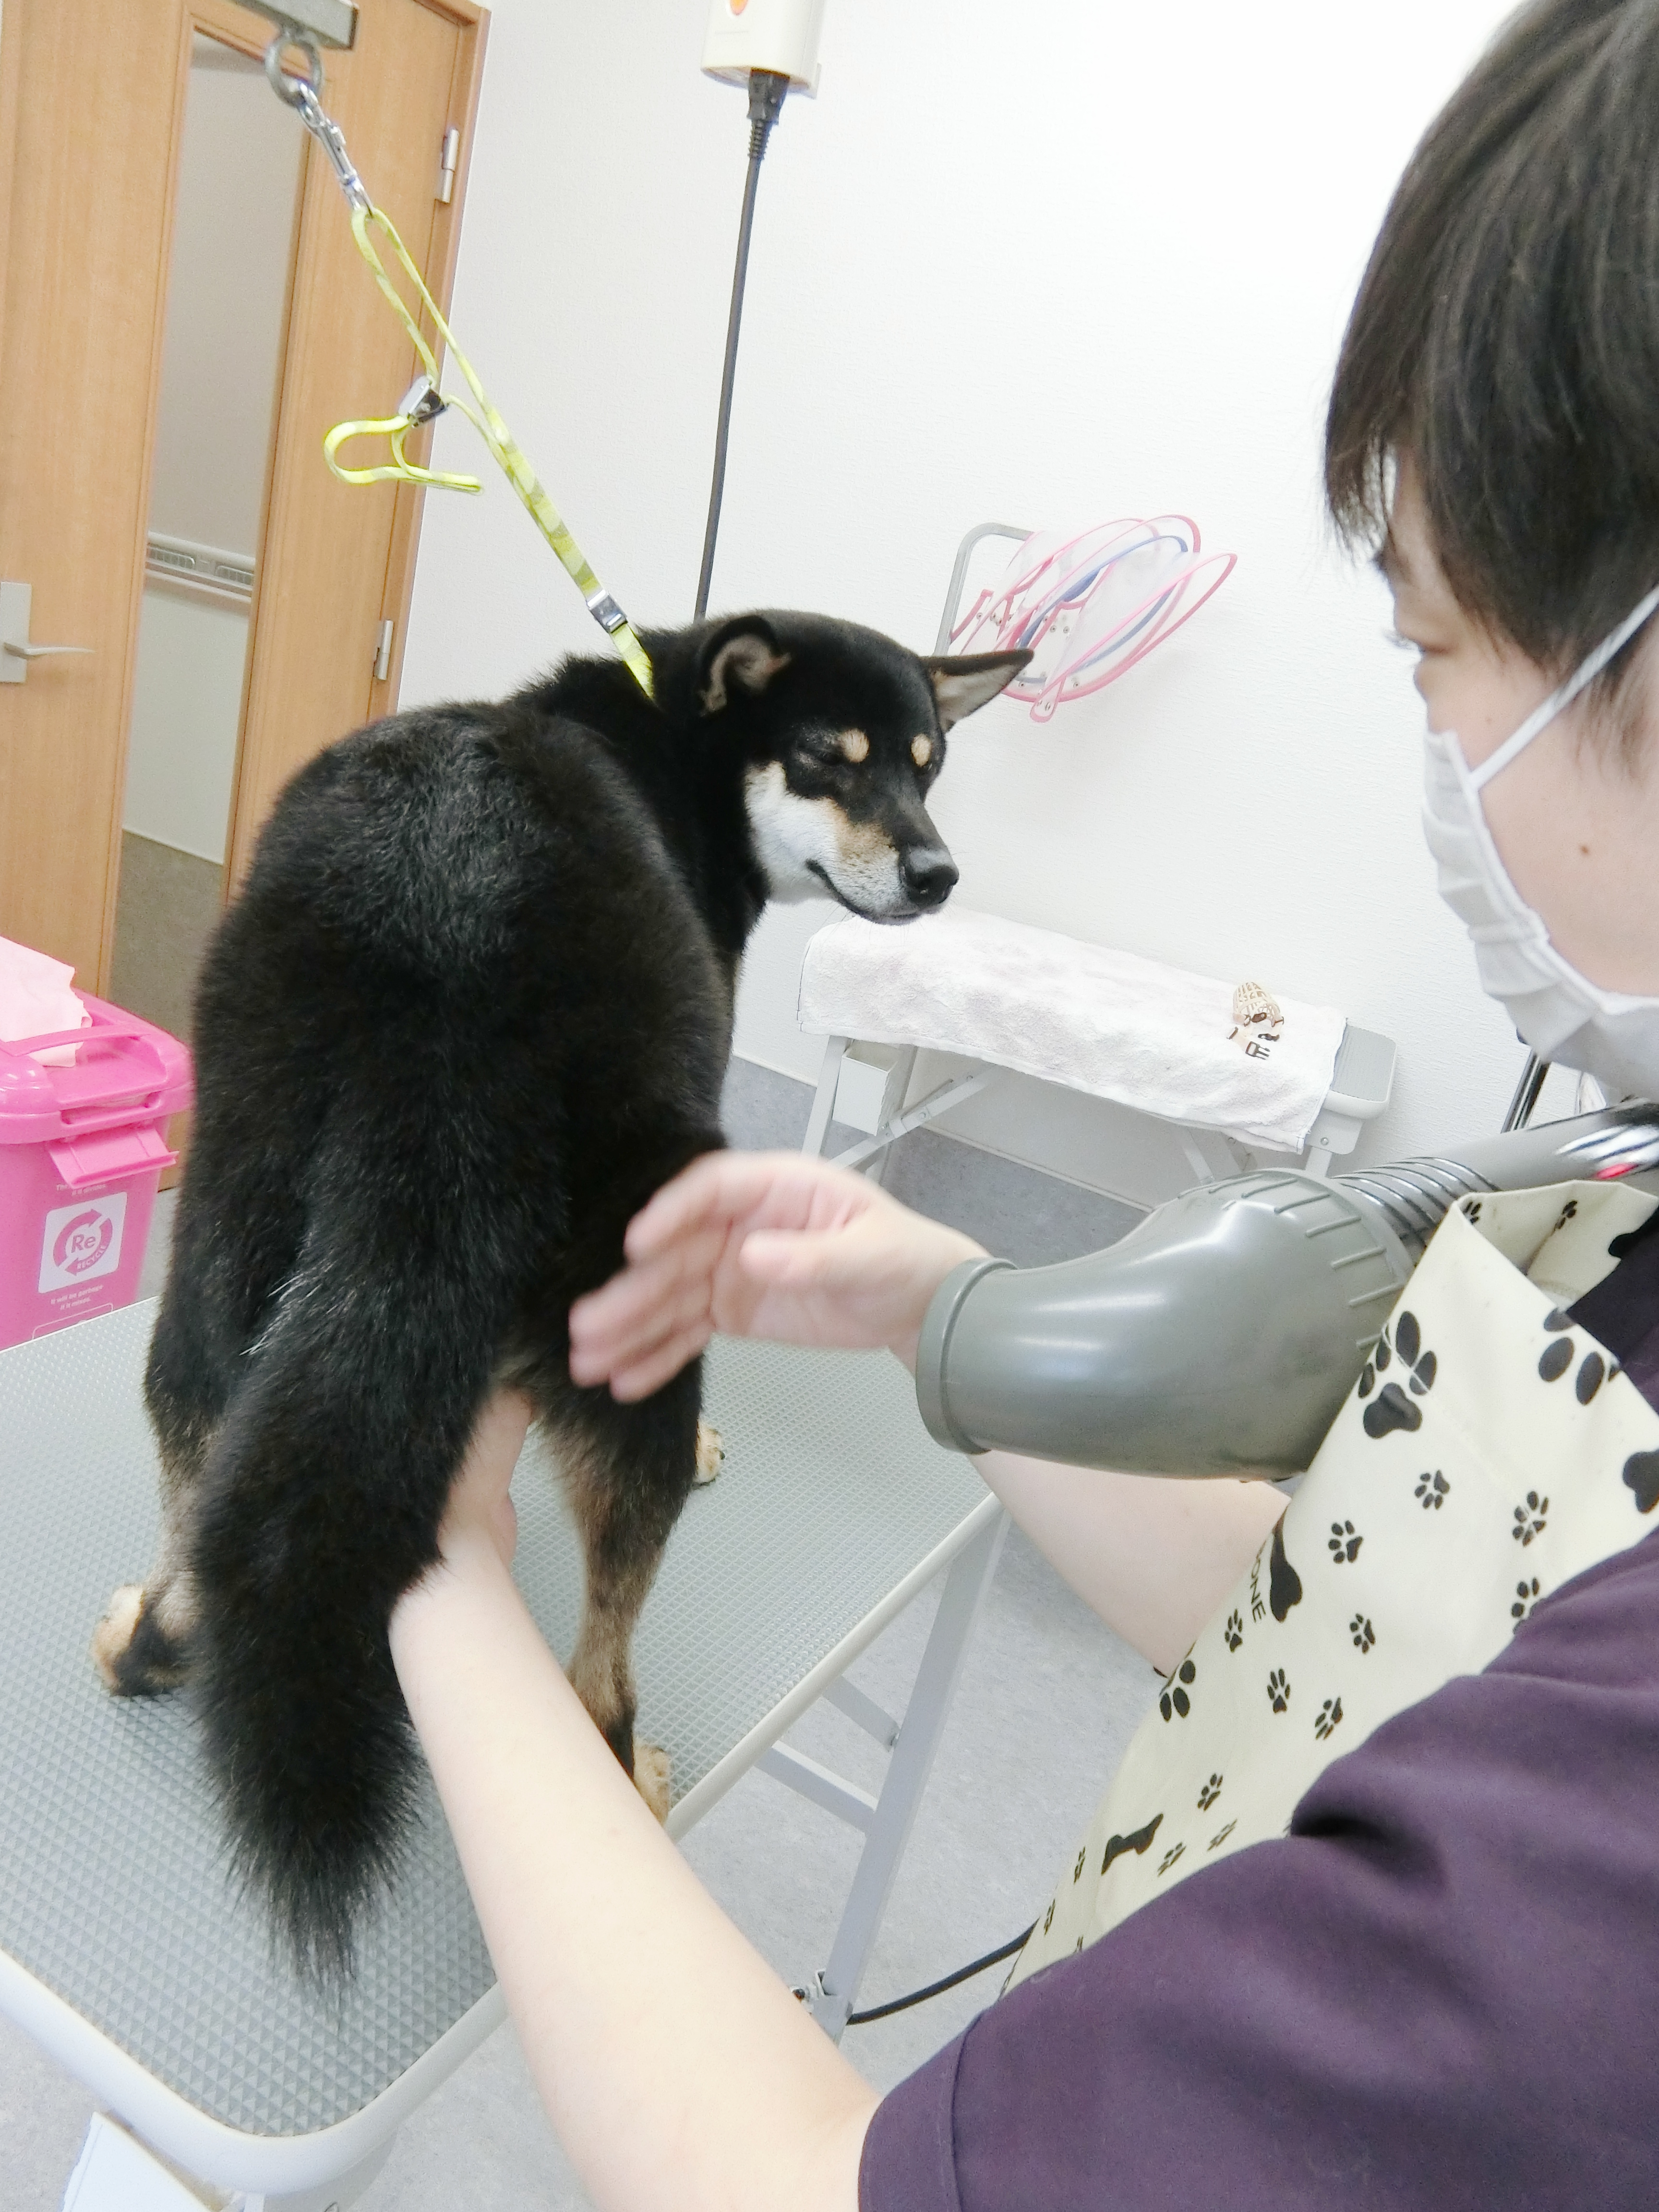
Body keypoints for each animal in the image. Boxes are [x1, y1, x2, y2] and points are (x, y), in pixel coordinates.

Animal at [90, 610, 1026, 1976]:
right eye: (829, 760)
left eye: (928, 765)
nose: (937, 873)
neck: (668, 735)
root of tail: (445, 926)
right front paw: (711, 1443)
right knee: (597, 1681)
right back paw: (630, 1774)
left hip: (225, 1213)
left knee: (197, 1447)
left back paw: (154, 1640)